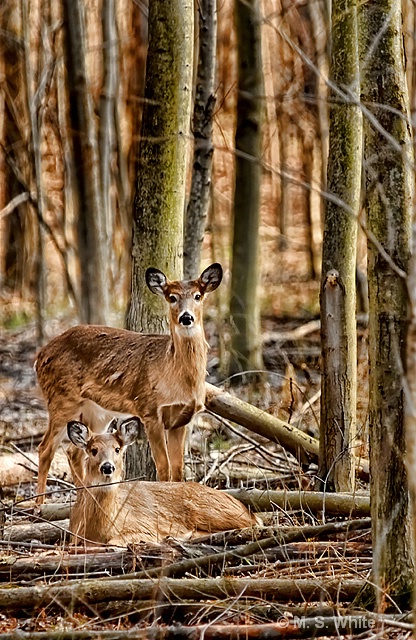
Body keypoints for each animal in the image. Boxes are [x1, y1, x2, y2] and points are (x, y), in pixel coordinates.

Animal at [34, 262, 223, 502]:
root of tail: (40, 355)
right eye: (172, 297)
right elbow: (163, 468)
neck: (176, 378)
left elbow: (178, 469)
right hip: (61, 399)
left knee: (74, 450)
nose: (186, 317)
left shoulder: (180, 419)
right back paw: (38, 504)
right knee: (45, 448)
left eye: (198, 296)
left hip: (97, 411)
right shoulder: (149, 411)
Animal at [68, 416, 260, 544]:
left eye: (117, 449)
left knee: (250, 525)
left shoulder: (145, 528)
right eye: (93, 450)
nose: (107, 467)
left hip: (212, 511)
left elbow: (115, 541)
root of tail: (244, 508)